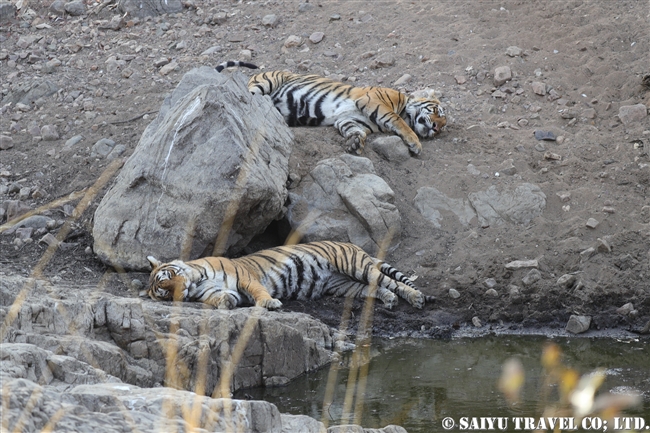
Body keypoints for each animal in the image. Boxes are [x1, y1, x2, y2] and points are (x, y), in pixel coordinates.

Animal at [215, 60, 442, 155]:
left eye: (443, 126)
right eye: (438, 113)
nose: (436, 128)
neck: (406, 108)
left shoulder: (349, 118)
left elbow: (356, 130)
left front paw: (355, 144)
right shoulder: (373, 101)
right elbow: (399, 122)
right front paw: (415, 143)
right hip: (266, 82)